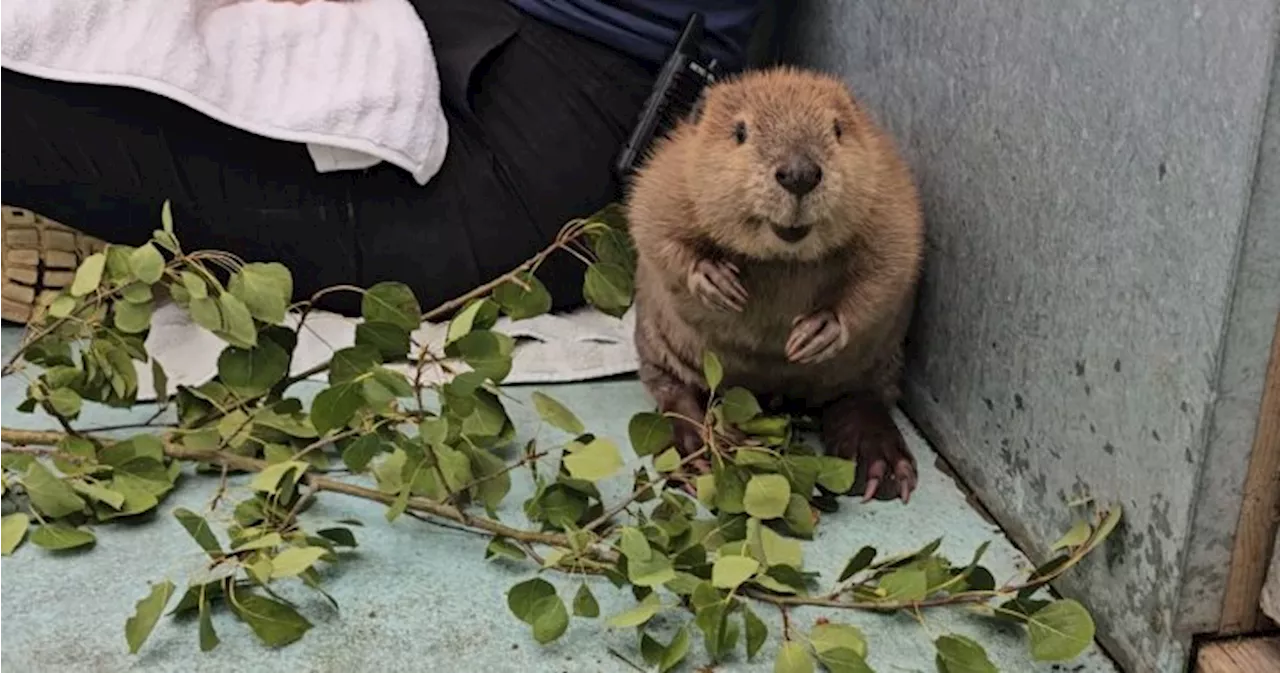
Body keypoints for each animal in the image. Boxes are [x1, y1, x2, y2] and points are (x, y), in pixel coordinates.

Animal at [627, 65, 921, 504]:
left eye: (837, 129)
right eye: (740, 131)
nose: (799, 174)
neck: (784, 255)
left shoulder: (889, 195)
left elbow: (887, 267)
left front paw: (815, 333)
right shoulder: (671, 173)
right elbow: (651, 226)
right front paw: (717, 281)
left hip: (879, 360)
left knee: (863, 394)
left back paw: (879, 465)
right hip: (656, 339)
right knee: (671, 387)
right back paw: (696, 452)